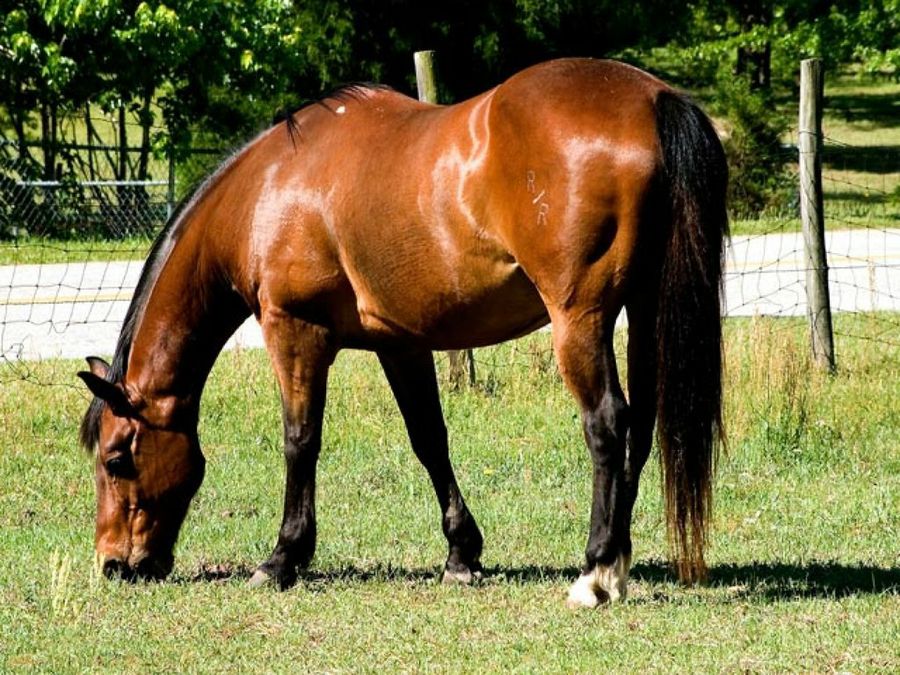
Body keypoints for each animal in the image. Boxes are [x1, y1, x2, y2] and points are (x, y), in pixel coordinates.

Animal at [77, 57, 727, 608]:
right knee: (640, 427)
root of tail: (653, 98)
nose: (113, 564)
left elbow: (300, 440)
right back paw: (618, 563)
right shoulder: (401, 343)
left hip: (580, 319)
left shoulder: (295, 332)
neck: (269, 189)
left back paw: (595, 572)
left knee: (607, 424)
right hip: (643, 310)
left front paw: (282, 559)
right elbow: (429, 440)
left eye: (116, 458)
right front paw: (461, 555)